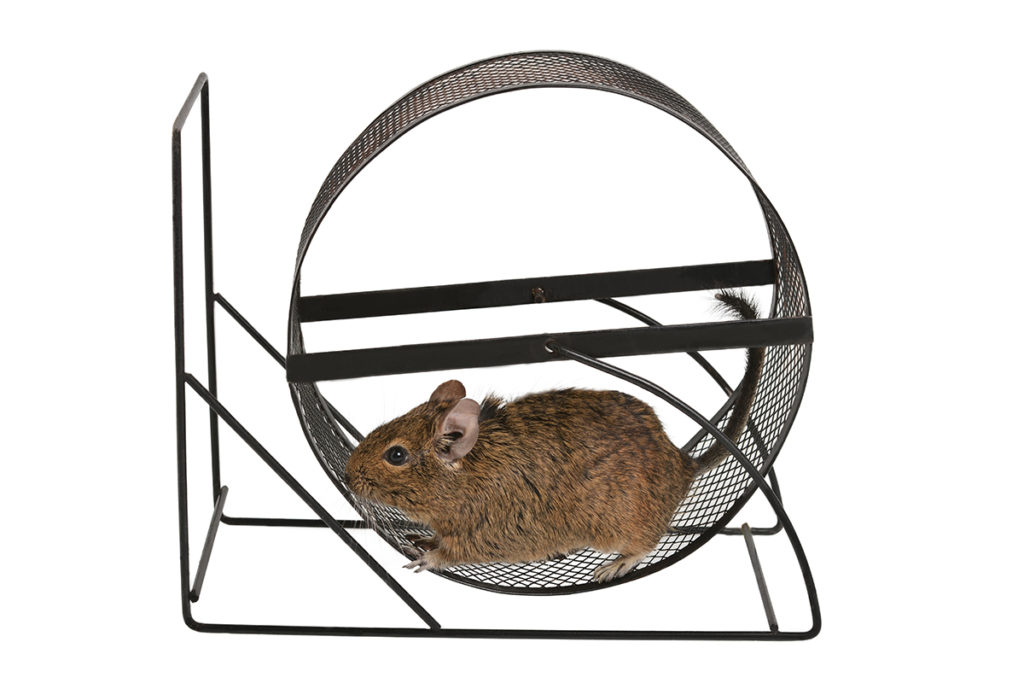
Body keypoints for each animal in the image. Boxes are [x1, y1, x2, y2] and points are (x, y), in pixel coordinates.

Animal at [344, 291, 765, 582]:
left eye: (396, 455)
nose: (347, 477)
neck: (468, 475)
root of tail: (683, 464)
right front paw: (426, 541)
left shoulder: (495, 530)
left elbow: (457, 552)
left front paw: (428, 558)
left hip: (618, 525)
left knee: (648, 542)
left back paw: (614, 566)